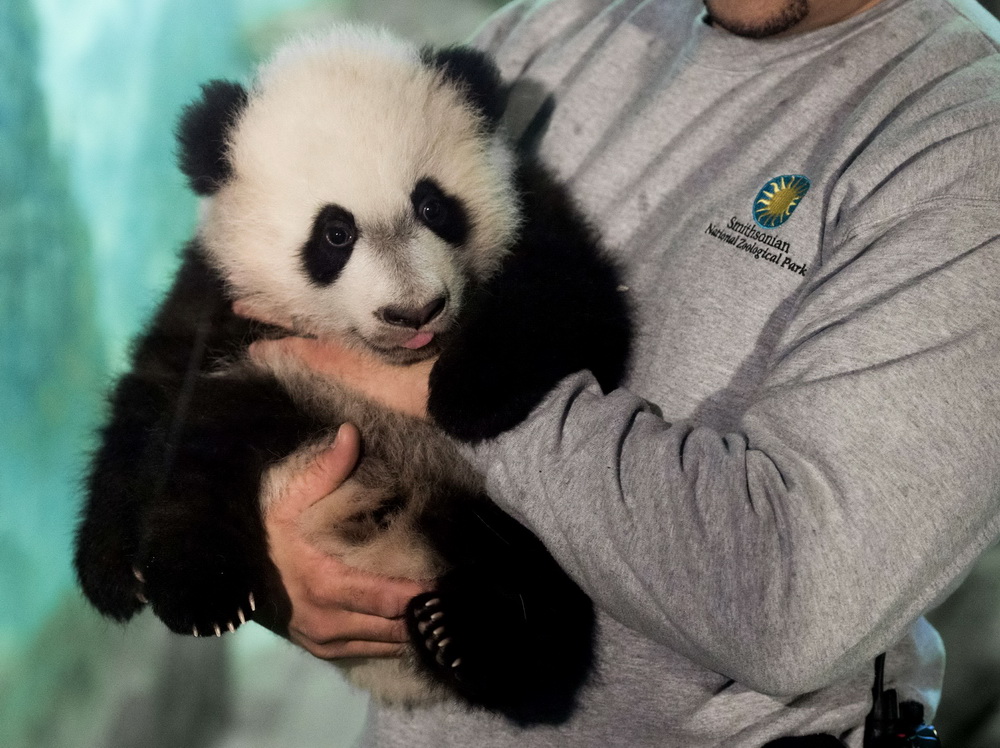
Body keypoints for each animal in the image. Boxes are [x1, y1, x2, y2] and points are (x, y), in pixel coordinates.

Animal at [73, 26, 632, 725]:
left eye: (433, 206)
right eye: (335, 234)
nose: (415, 312)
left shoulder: (534, 222)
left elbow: (571, 303)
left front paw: (463, 396)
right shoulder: (221, 301)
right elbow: (153, 388)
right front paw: (111, 572)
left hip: (506, 521)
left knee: (545, 601)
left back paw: (467, 641)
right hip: (267, 396)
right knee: (200, 453)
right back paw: (202, 591)